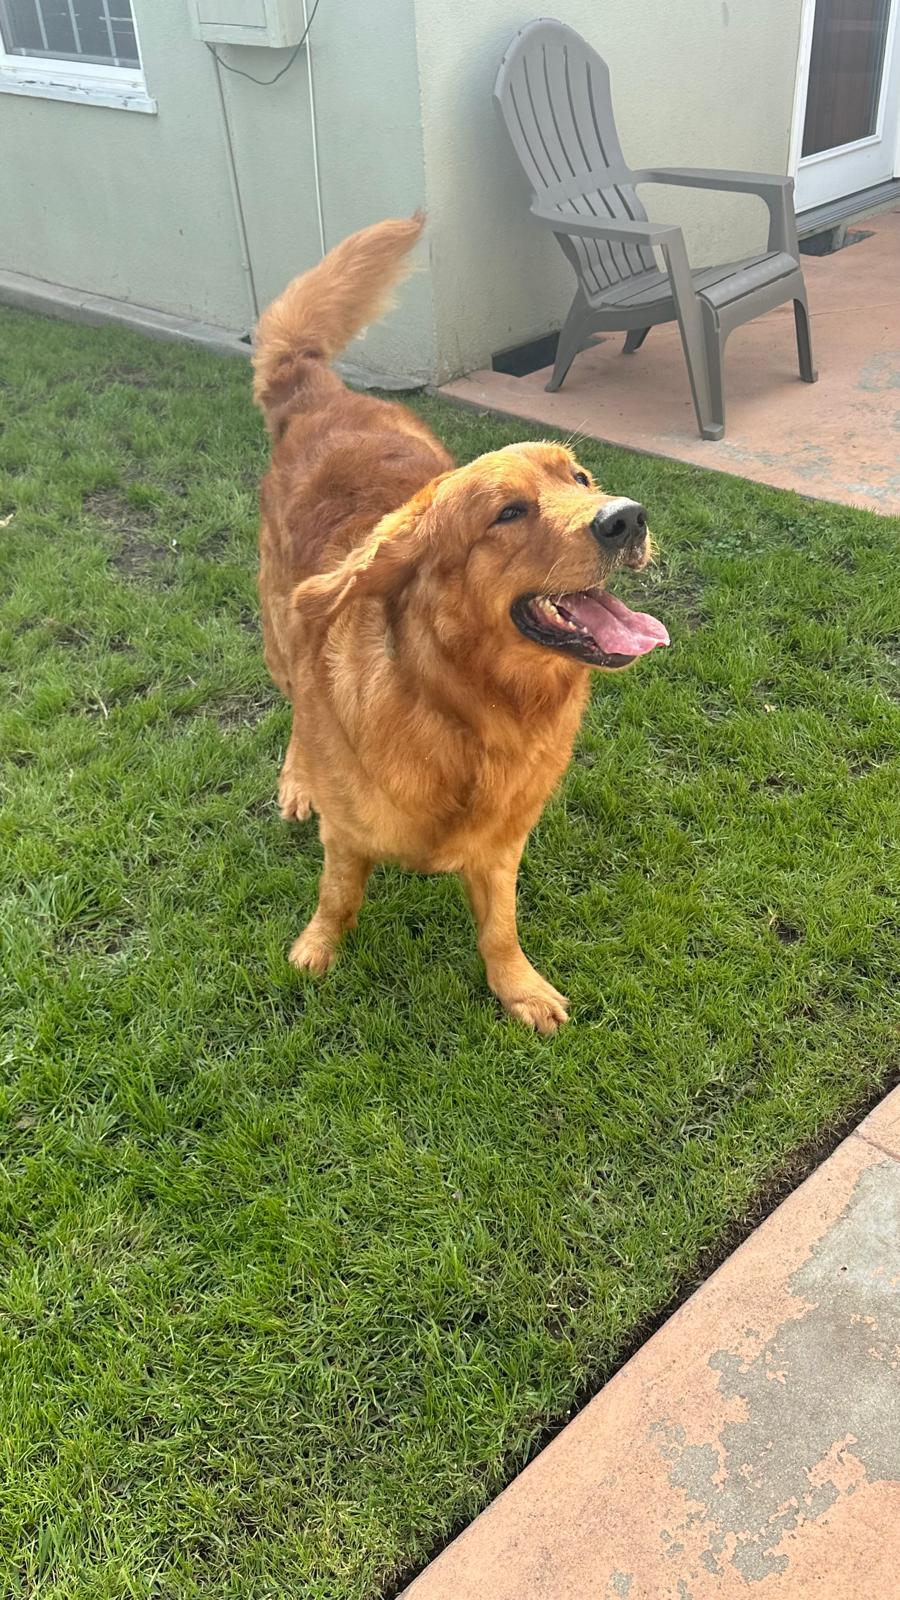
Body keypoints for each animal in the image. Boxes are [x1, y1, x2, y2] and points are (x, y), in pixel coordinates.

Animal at [254, 216, 668, 1032]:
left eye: (581, 478)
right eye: (507, 513)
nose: (626, 518)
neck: (472, 708)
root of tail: (319, 393)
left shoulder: (503, 843)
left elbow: (499, 926)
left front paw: (518, 987)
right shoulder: (347, 834)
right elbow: (338, 894)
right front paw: (316, 949)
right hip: (281, 631)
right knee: (297, 712)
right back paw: (297, 777)